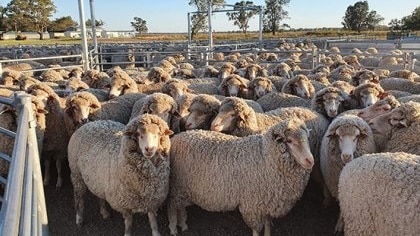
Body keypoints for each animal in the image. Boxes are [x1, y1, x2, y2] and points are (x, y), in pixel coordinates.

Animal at [167, 119, 316, 235]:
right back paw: (174, 228)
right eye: (289, 141)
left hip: (182, 188)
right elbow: (256, 230)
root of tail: (176, 138)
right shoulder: (252, 205)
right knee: (173, 207)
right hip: (176, 185)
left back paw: (183, 224)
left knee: (179, 207)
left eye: (307, 139)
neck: (266, 157)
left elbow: (267, 225)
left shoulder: (267, 203)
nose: (310, 161)